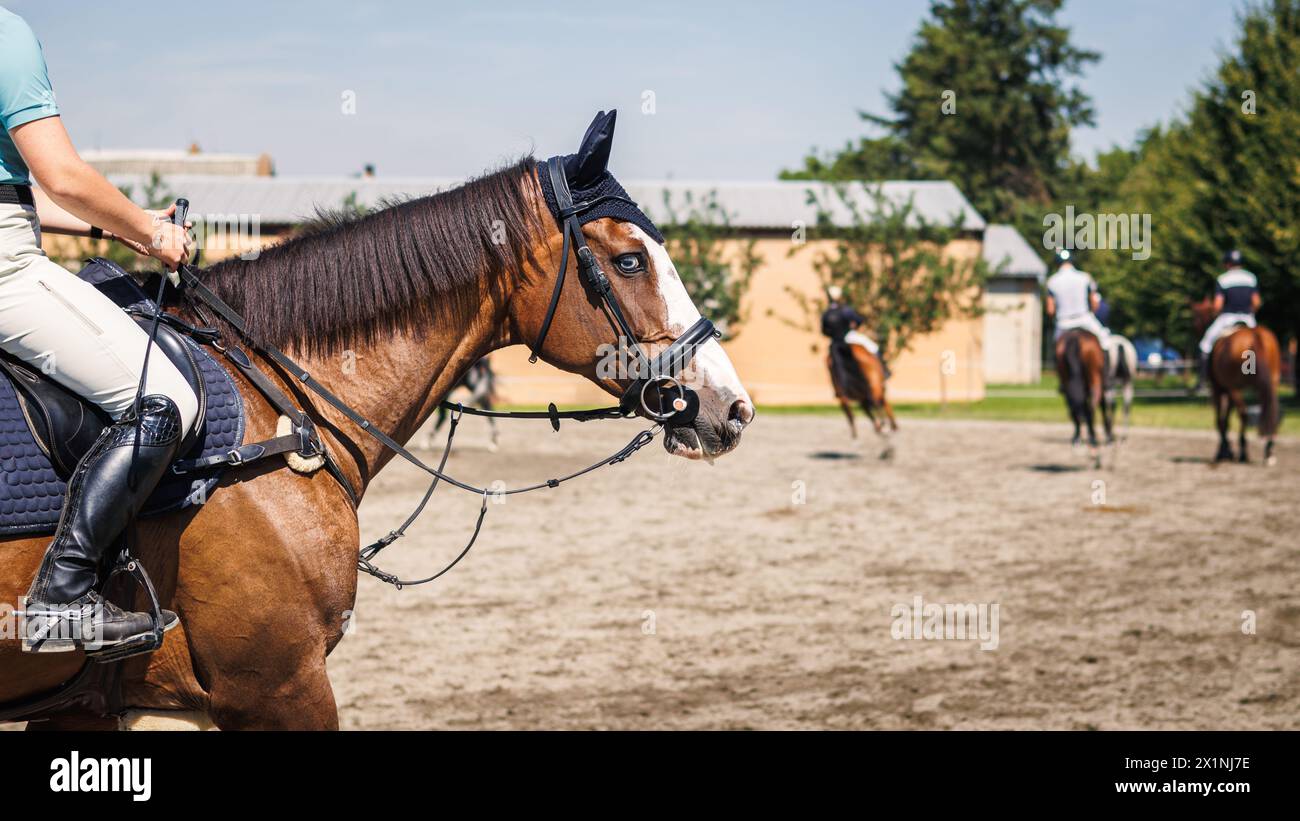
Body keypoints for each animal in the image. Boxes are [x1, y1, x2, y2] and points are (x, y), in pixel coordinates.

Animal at [1050, 328, 1112, 467]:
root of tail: (1075, 338)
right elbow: (1103, 409)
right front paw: (1109, 437)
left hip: (1068, 382)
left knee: (1077, 408)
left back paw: (1085, 443)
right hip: (1095, 381)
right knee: (1091, 408)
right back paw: (1094, 446)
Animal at [1206, 327, 1279, 467]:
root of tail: (1255, 333)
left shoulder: (1219, 389)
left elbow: (1221, 421)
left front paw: (1225, 452)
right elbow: (1226, 421)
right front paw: (1226, 451)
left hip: (1234, 388)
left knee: (1243, 414)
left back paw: (1243, 453)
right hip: (1271, 382)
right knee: (1270, 412)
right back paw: (1268, 452)